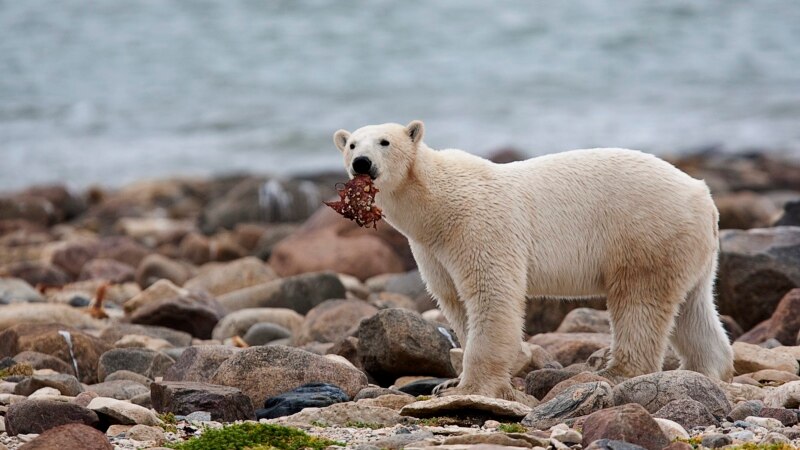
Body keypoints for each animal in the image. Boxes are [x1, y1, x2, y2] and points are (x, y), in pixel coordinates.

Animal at [333, 120, 735, 402]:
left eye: (384, 141)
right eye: (352, 144)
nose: (362, 163)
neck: (436, 205)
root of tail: (704, 196)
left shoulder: (479, 226)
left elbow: (490, 294)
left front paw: (468, 387)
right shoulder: (431, 249)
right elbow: (454, 300)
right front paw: (449, 382)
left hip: (645, 232)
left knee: (639, 302)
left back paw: (616, 372)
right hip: (688, 248)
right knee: (694, 309)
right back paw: (707, 371)